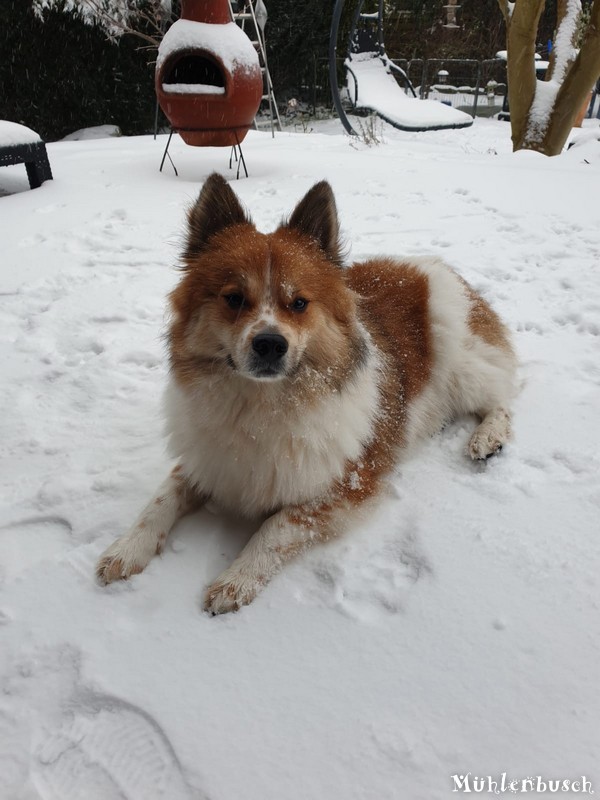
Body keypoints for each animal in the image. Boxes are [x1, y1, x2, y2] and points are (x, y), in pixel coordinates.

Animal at [96, 173, 516, 612]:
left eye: (298, 303)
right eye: (234, 299)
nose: (269, 344)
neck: (260, 406)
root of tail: (432, 265)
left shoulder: (347, 484)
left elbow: (277, 525)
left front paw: (237, 579)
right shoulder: (206, 460)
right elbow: (161, 499)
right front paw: (128, 548)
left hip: (463, 364)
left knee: (501, 398)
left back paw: (487, 437)